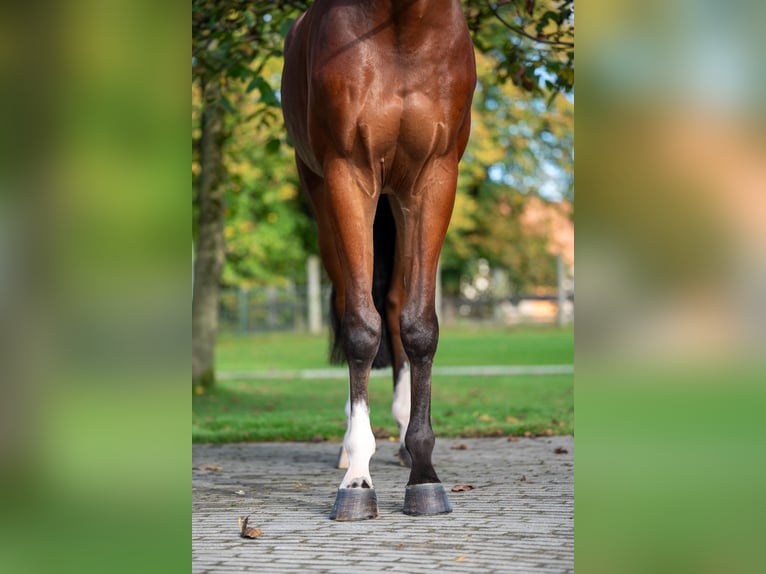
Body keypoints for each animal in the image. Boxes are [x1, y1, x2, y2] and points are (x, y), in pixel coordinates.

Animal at [280, 0, 476, 520]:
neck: (402, 29)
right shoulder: (349, 176)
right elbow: (359, 329)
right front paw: (357, 477)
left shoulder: (433, 179)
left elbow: (419, 328)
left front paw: (424, 474)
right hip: (327, 203)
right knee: (354, 304)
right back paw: (350, 446)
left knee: (393, 305)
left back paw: (405, 439)